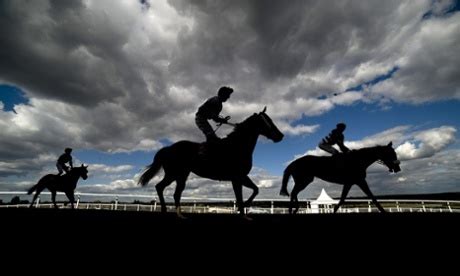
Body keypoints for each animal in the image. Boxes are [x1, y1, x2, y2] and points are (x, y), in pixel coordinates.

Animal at [138, 106, 284, 217]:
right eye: (265, 121)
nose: (280, 136)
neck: (237, 146)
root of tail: (168, 148)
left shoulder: (241, 177)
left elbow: (255, 190)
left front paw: (243, 209)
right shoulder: (237, 178)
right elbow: (241, 196)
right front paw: (242, 210)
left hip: (181, 175)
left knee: (175, 193)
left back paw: (180, 215)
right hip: (173, 173)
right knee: (160, 187)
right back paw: (165, 210)